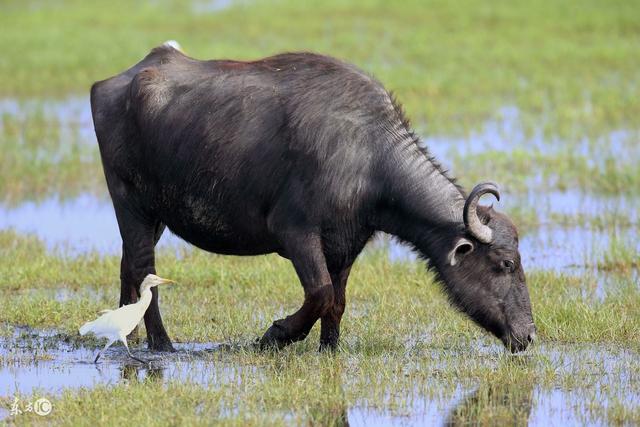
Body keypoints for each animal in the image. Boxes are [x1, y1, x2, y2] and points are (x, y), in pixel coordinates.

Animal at [90, 40, 536, 354]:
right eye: (505, 264)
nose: (528, 335)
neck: (369, 160)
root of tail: (114, 83)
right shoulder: (297, 233)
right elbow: (319, 293)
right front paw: (274, 335)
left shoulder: (345, 246)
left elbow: (337, 301)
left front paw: (329, 347)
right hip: (130, 204)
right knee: (144, 269)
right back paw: (162, 343)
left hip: (156, 217)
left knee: (128, 266)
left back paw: (124, 334)